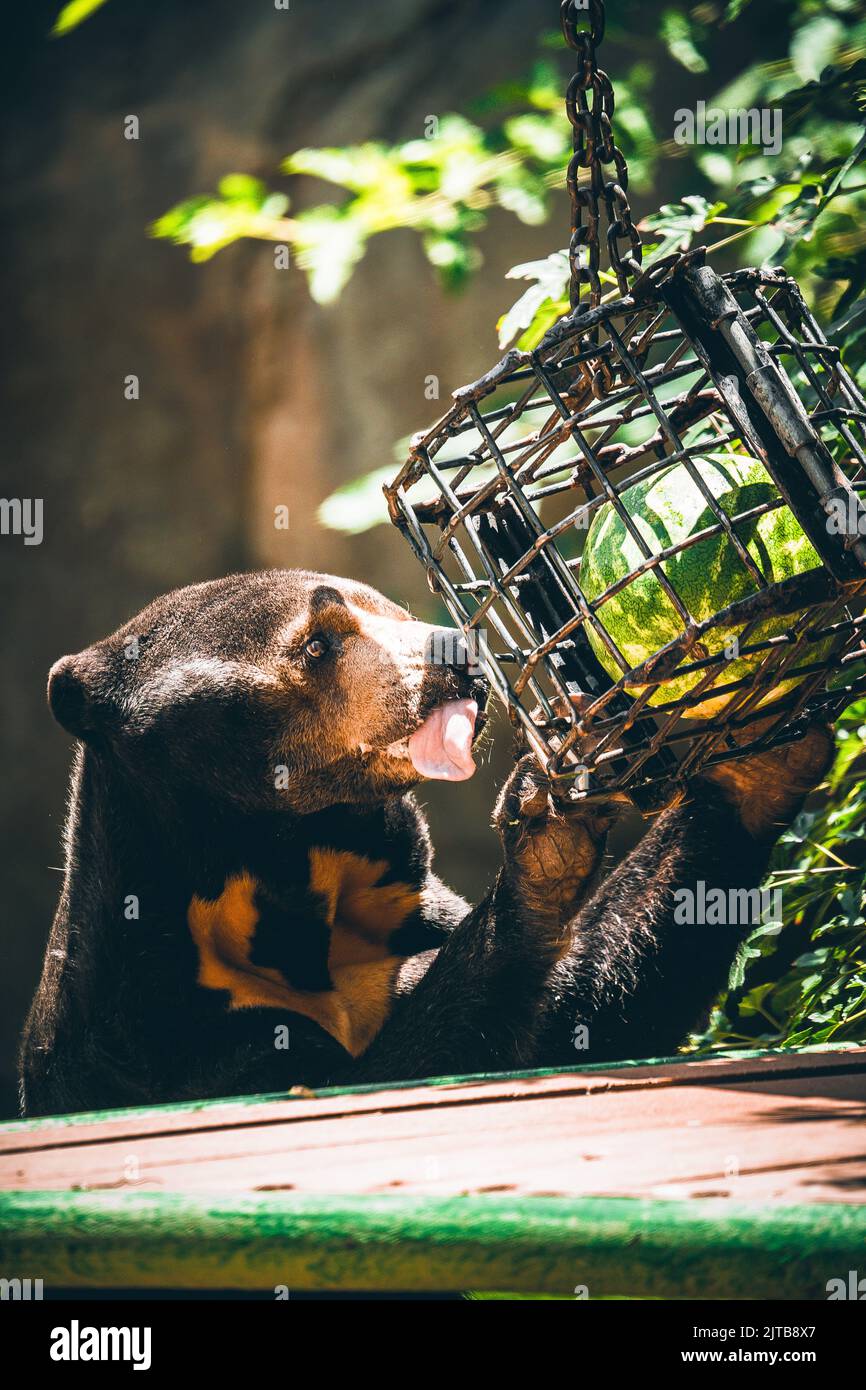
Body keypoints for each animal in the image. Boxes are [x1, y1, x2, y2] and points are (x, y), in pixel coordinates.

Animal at [18, 568, 833, 1116]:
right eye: (319, 643)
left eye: (393, 608)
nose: (458, 648)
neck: (295, 866)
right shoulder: (159, 1032)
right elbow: (392, 1068)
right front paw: (543, 831)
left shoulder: (402, 907)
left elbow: (581, 1017)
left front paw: (754, 745)